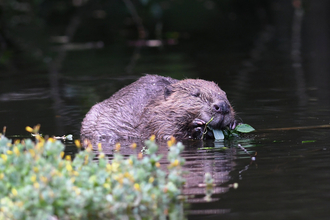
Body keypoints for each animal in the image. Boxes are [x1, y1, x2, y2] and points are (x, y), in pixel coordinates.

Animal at [80, 75, 237, 141]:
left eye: (224, 93)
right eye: (195, 94)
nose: (222, 106)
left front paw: (233, 124)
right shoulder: (155, 119)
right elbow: (167, 134)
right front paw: (197, 126)